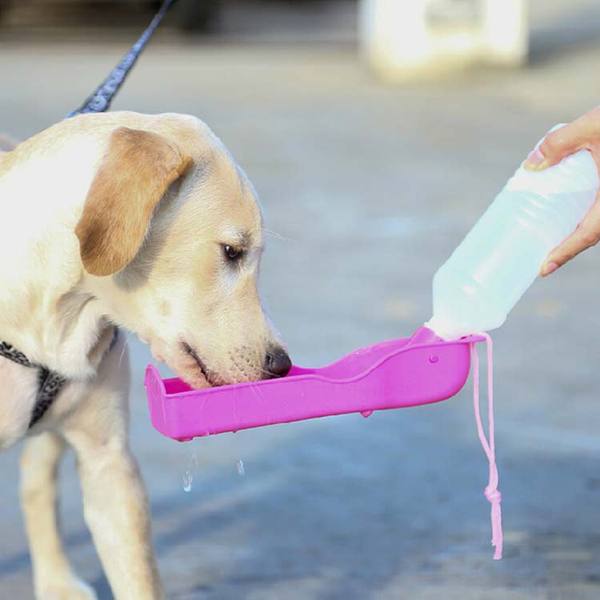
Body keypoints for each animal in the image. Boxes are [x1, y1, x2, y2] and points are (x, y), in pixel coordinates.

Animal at [0, 110, 290, 596]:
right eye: (232, 251)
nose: (281, 365)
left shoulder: (110, 465)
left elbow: (138, 578)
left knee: (36, 480)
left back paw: (55, 580)